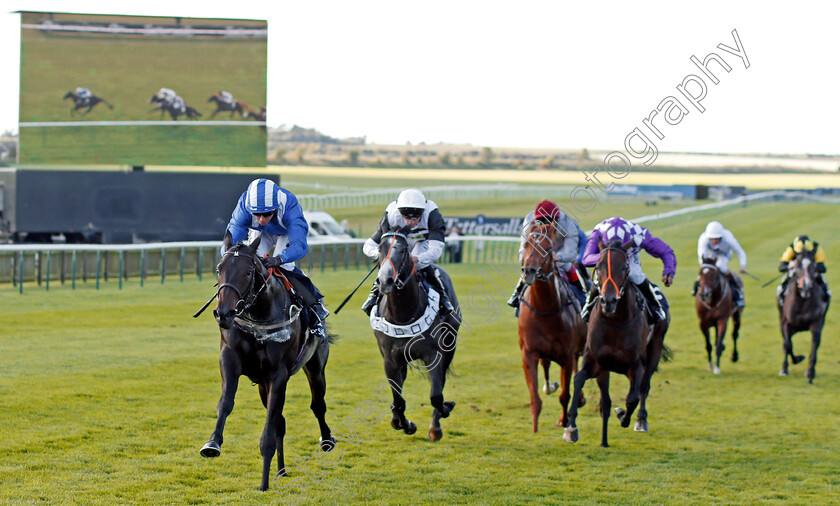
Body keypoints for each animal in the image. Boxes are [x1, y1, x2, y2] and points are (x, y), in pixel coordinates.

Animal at [200, 232, 334, 490]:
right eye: (219, 268)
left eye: (248, 272)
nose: (224, 313)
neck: (258, 316)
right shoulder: (230, 359)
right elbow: (226, 402)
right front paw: (212, 443)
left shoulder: (278, 374)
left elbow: (270, 426)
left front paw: (263, 482)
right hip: (262, 385)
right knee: (281, 422)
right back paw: (281, 470)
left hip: (315, 367)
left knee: (317, 405)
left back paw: (327, 441)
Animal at [370, 227, 460, 440]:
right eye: (380, 248)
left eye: (403, 250)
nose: (385, 280)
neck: (404, 315)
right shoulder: (391, 359)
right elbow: (398, 399)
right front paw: (405, 424)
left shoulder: (434, 354)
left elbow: (436, 396)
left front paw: (444, 413)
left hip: (450, 345)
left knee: (441, 382)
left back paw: (436, 425)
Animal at [516, 221, 588, 430]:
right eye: (526, 244)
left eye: (547, 249)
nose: (529, 271)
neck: (545, 310)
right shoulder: (529, 353)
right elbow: (535, 398)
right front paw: (534, 427)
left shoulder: (567, 355)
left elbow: (565, 394)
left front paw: (564, 421)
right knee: (547, 365)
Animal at [560, 241, 672, 446]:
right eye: (599, 266)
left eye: (625, 267)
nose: (609, 301)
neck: (615, 322)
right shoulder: (596, 361)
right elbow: (579, 379)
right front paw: (571, 427)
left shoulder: (635, 365)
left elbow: (632, 398)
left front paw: (623, 416)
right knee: (606, 399)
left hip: (656, 347)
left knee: (644, 386)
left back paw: (641, 420)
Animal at [776, 247, 832, 382]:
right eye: (797, 265)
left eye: (812, 266)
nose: (805, 287)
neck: (802, 301)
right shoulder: (786, 322)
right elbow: (788, 344)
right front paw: (789, 366)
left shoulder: (816, 323)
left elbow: (815, 344)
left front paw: (810, 372)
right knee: (786, 342)